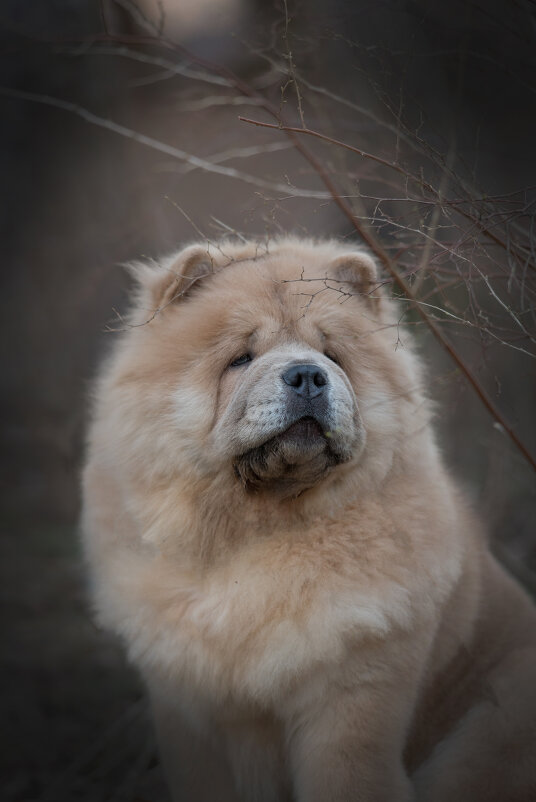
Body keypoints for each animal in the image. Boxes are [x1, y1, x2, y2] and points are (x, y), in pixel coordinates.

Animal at [81, 238, 536, 800]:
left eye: (333, 356)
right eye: (241, 358)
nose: (308, 374)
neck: (257, 525)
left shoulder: (353, 693)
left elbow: (345, 776)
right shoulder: (189, 715)